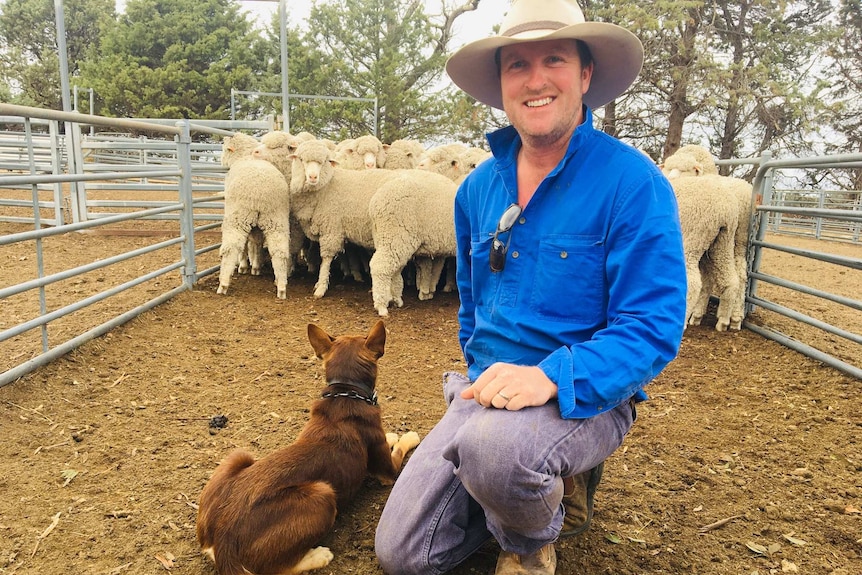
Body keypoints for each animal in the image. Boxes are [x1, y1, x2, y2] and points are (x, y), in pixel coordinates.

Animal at [197, 322, 426, 572]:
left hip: (239, 456)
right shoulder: (388, 471)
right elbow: (400, 448)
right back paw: (319, 556)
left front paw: (392, 435)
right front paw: (407, 436)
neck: (346, 391)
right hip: (322, 495)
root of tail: (223, 540)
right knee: (279, 569)